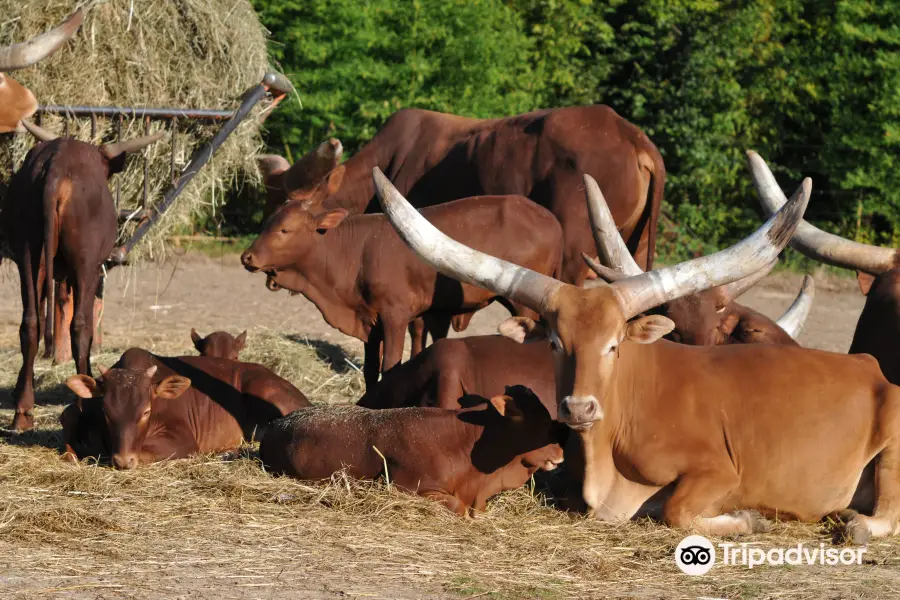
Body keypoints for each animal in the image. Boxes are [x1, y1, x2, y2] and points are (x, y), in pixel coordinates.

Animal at [5, 123, 166, 432]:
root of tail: (56, 168)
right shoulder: (89, 271)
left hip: (29, 254)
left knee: (30, 323)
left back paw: (23, 411)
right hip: (86, 264)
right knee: (80, 327)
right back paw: (85, 402)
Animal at [239, 195, 564, 386]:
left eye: (285, 230)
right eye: (267, 224)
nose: (247, 257)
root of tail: (549, 217)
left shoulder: (394, 315)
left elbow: (390, 364)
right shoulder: (369, 321)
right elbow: (371, 369)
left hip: (523, 302)